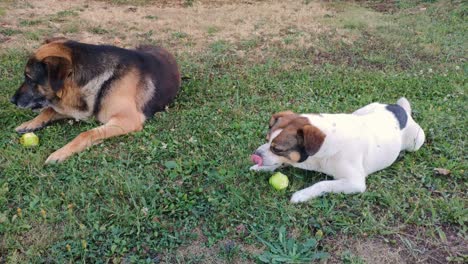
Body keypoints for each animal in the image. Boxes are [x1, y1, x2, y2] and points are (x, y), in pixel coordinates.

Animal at [11, 38, 180, 163]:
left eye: (29, 78)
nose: (12, 100)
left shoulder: (127, 120)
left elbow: (86, 134)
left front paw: (60, 153)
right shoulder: (79, 108)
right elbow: (49, 110)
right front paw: (29, 124)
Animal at [250, 98, 426, 203]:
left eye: (278, 149)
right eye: (267, 139)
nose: (255, 156)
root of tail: (400, 110)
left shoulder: (355, 183)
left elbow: (322, 184)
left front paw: (302, 194)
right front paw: (261, 168)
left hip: (417, 141)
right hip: (361, 110)